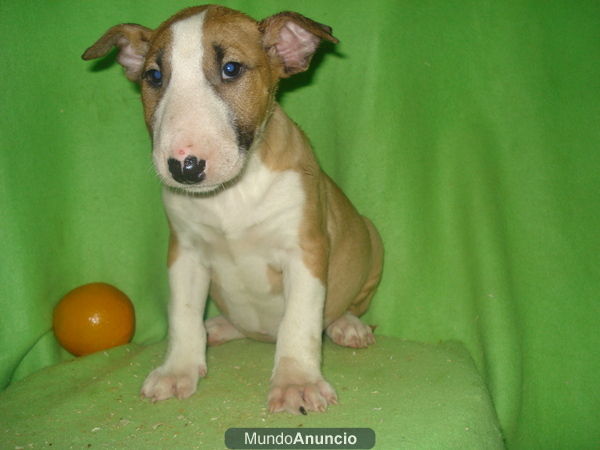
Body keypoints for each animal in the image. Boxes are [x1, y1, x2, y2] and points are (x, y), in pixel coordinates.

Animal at [82, 4, 382, 414]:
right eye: (154, 76)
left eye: (231, 69)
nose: (185, 166)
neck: (229, 194)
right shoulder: (185, 253)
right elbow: (183, 314)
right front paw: (178, 370)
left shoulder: (305, 250)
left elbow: (299, 320)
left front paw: (296, 382)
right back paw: (217, 328)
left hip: (372, 240)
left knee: (343, 308)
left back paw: (347, 325)